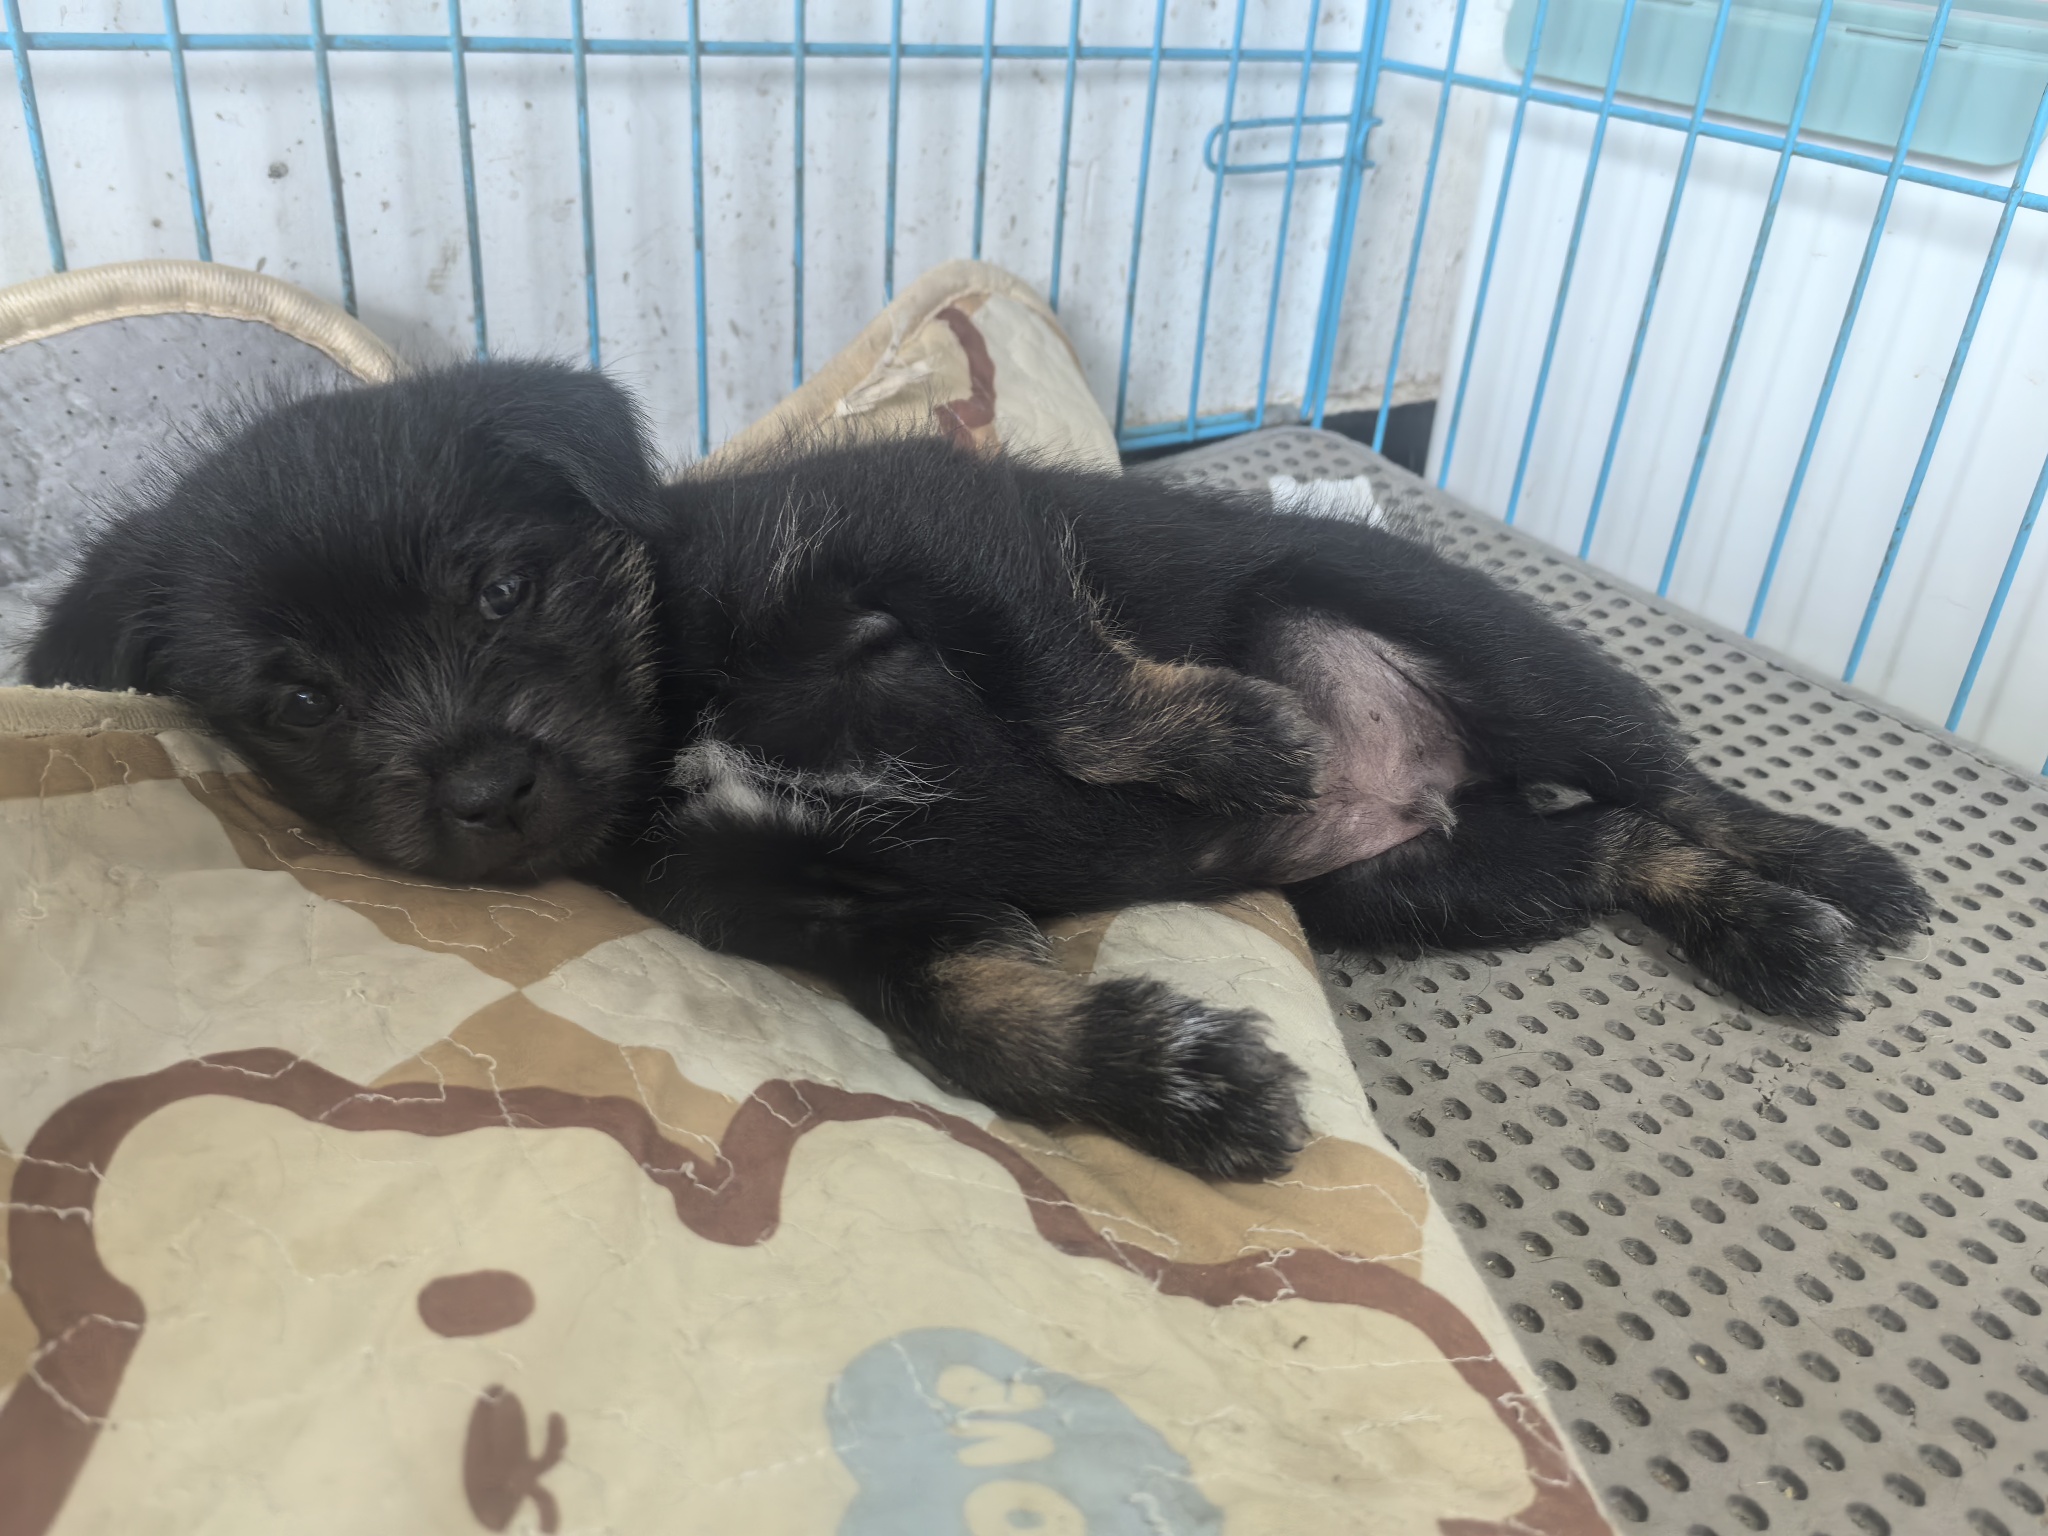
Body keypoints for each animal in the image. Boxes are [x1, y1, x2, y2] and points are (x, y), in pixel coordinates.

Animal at [28, 362, 1930, 1179]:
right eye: (295, 697)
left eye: (502, 589)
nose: (485, 793)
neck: (676, 702)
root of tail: (1433, 777)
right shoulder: (853, 911)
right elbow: (975, 1022)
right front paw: (1165, 1079)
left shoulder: (930, 525)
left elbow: (1075, 683)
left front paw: (1224, 739)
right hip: (1420, 883)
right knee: (1604, 852)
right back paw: (1754, 930)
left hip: (1483, 649)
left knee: (1667, 784)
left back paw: (1828, 876)